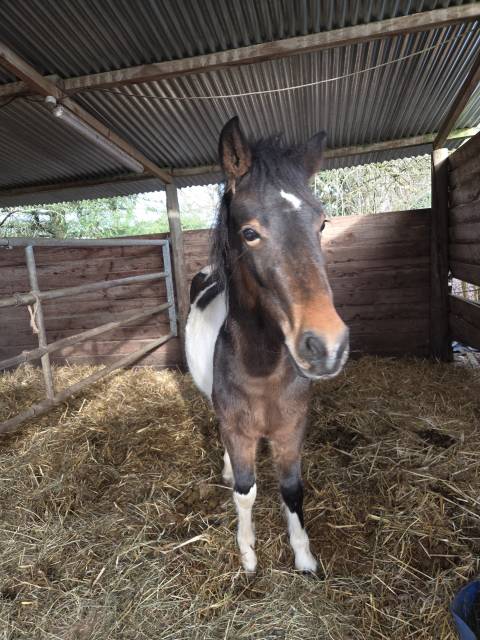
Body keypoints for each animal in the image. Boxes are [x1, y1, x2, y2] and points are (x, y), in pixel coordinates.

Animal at [185, 116, 349, 573]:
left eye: (321, 224)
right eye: (249, 232)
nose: (327, 346)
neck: (262, 368)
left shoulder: (291, 429)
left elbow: (291, 489)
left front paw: (305, 557)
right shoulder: (238, 429)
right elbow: (245, 491)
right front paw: (248, 554)